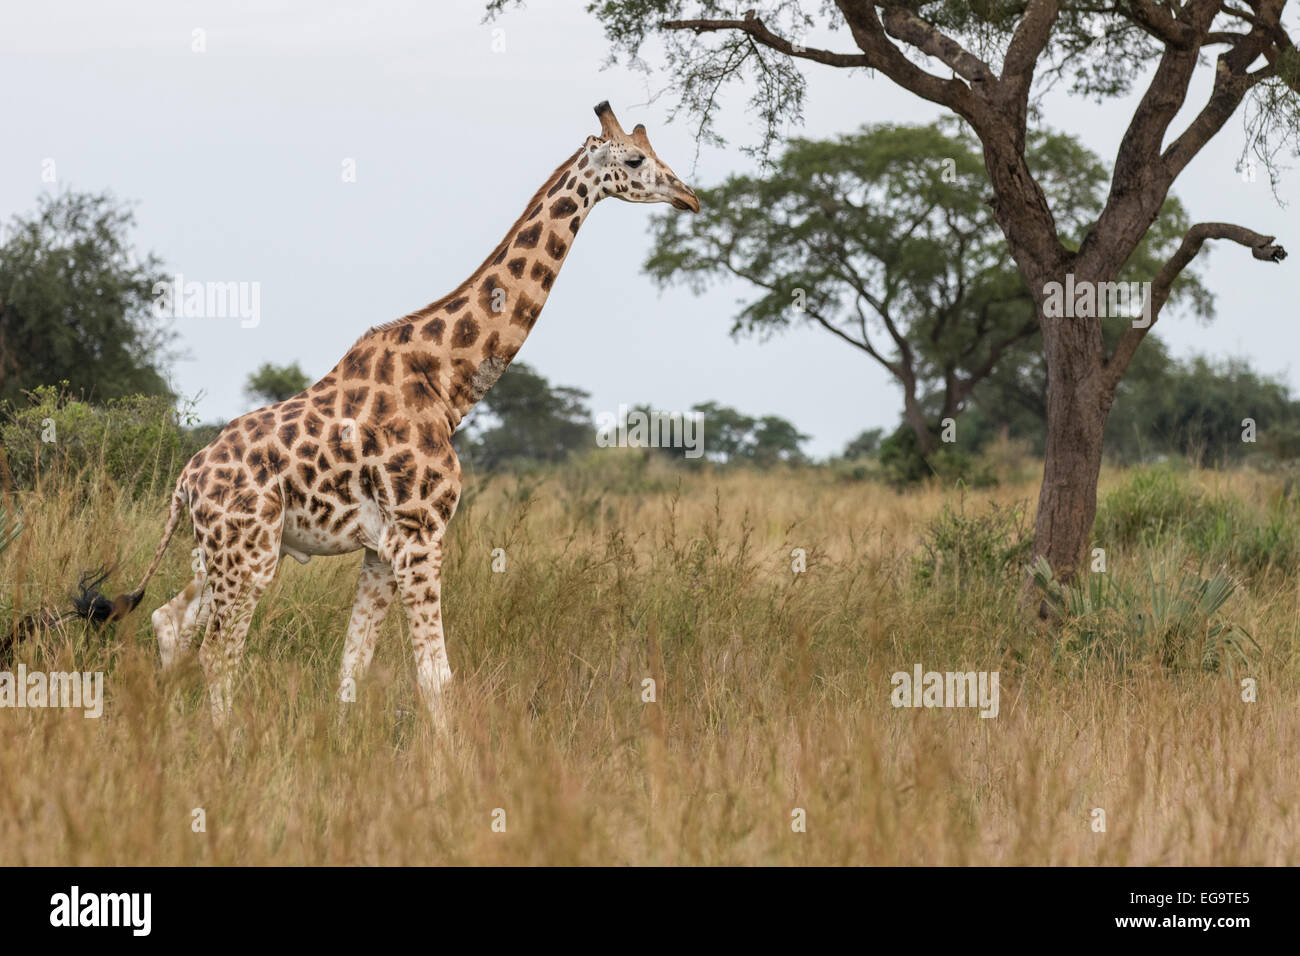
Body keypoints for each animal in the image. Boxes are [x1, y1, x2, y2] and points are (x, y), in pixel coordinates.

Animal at [74, 102, 696, 723]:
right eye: (634, 159)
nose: (688, 196)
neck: (448, 383)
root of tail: (185, 480)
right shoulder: (420, 535)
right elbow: (436, 678)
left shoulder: (381, 548)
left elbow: (353, 665)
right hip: (248, 553)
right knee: (218, 654)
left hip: (218, 552)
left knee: (168, 621)